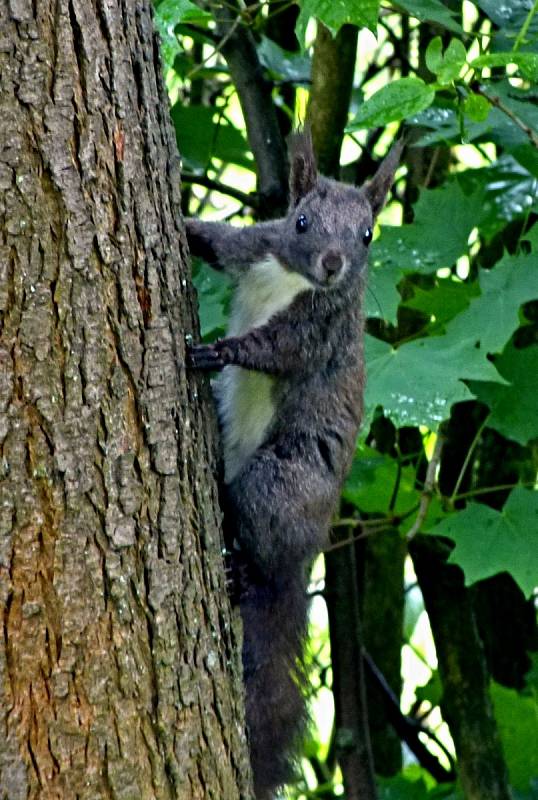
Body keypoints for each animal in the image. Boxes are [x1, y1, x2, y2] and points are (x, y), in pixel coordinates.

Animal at [184, 131, 398, 800]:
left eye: (368, 236)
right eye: (301, 220)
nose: (332, 264)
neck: (291, 278)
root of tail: (310, 548)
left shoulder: (318, 329)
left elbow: (273, 349)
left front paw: (219, 351)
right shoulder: (254, 246)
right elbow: (216, 239)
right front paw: (181, 216)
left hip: (281, 481)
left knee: (262, 550)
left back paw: (244, 571)